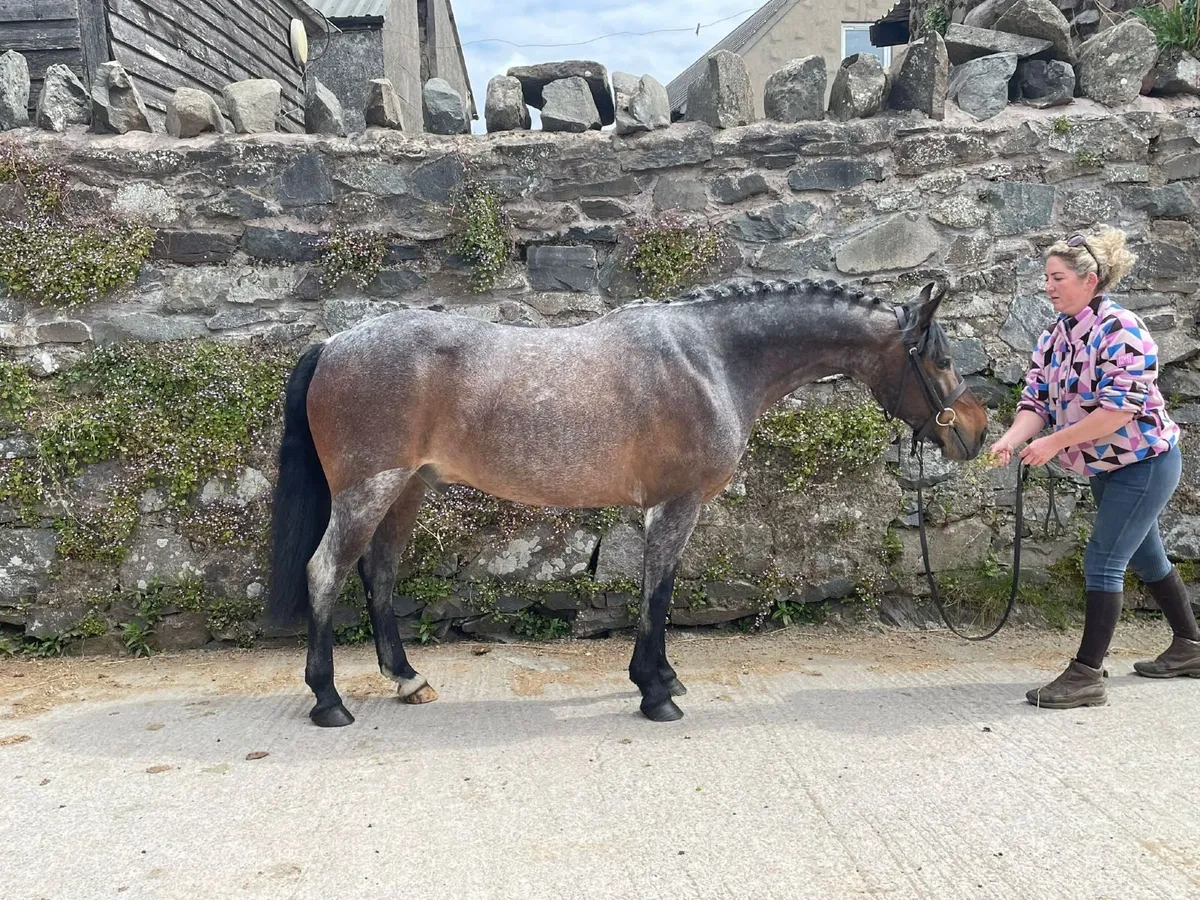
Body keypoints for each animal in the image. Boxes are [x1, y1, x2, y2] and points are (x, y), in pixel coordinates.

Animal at [265, 277, 989, 727]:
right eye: (941, 359)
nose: (977, 430)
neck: (713, 357)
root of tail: (333, 343)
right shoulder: (677, 503)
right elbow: (658, 590)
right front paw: (655, 691)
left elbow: (654, 588)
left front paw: (663, 677)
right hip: (371, 490)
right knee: (325, 573)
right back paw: (329, 701)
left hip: (407, 488)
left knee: (379, 575)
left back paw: (408, 680)